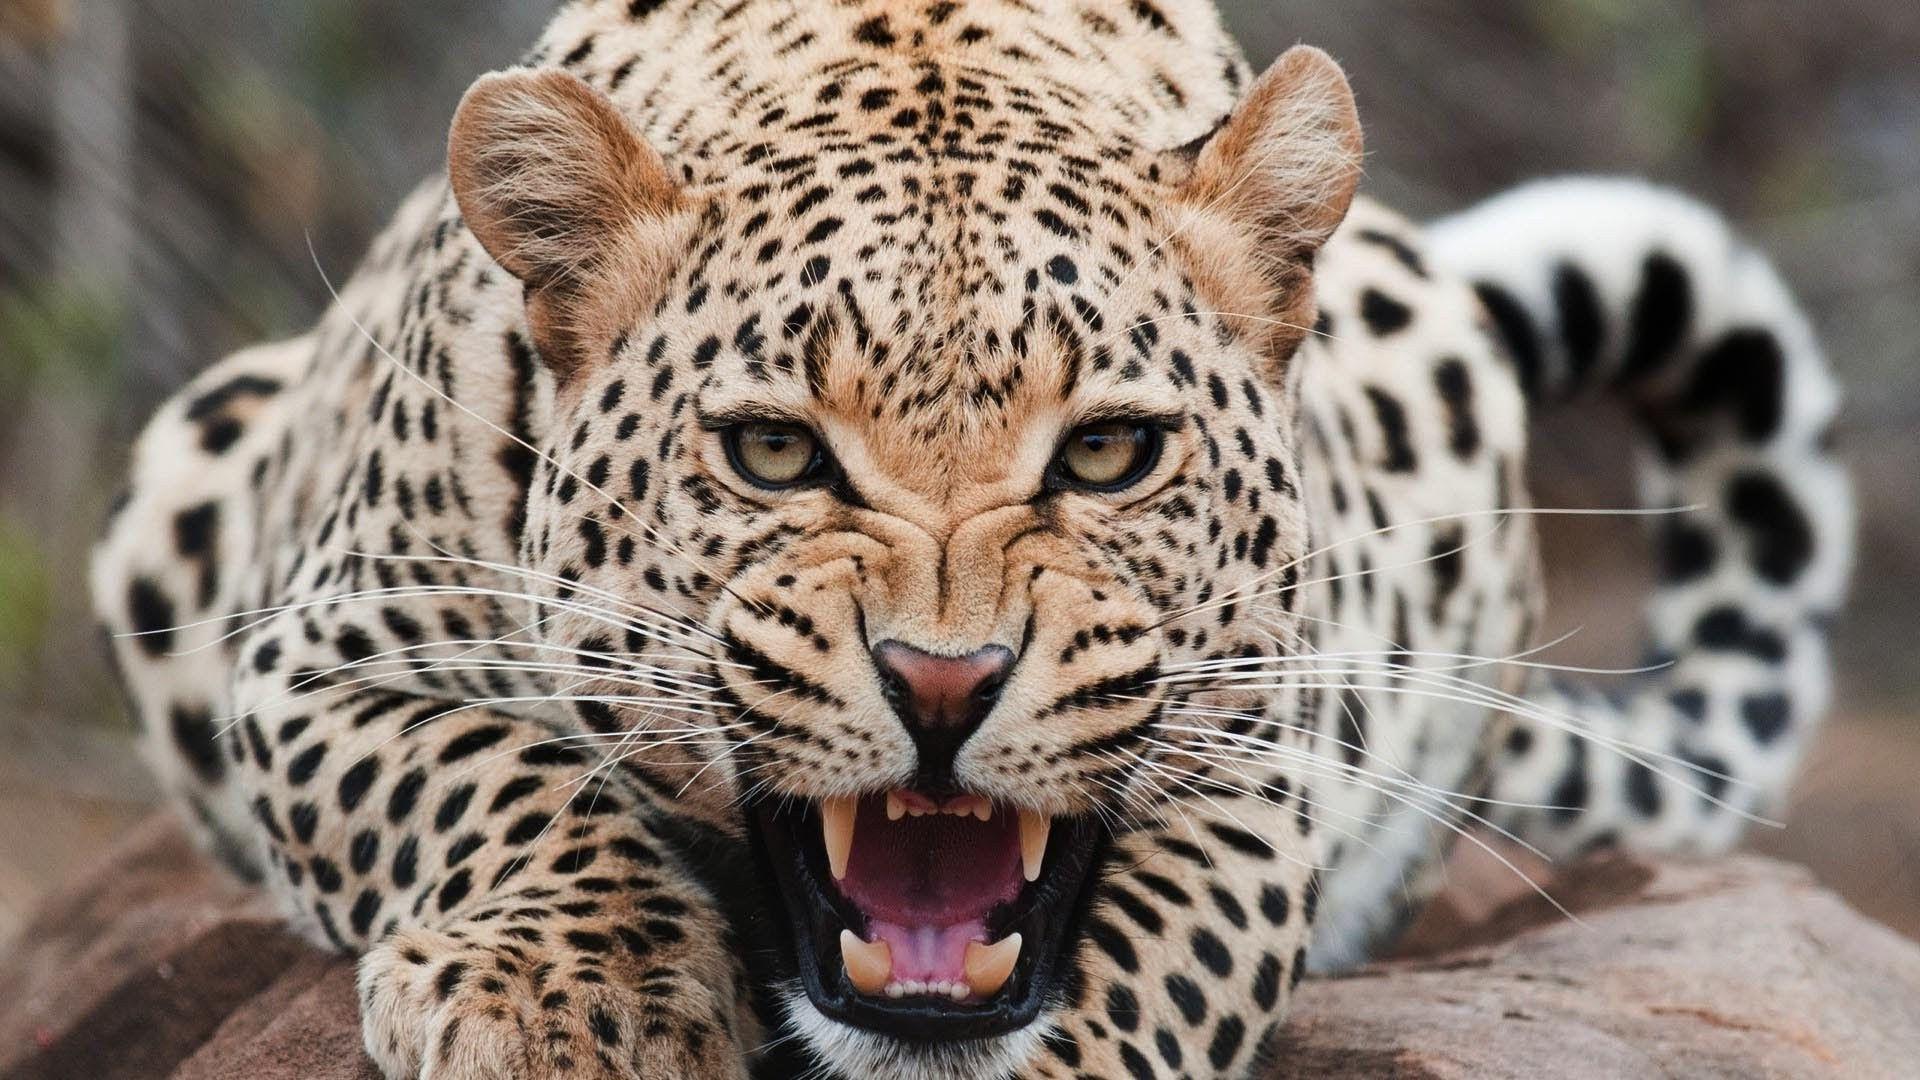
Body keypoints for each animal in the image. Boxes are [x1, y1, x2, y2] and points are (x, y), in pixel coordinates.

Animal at [90, 1, 1853, 1077]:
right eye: (775, 451)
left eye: (1111, 451)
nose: (944, 685)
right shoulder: (312, 658)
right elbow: (491, 780)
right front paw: (571, 1004)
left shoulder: (1262, 766)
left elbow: (1147, 973)